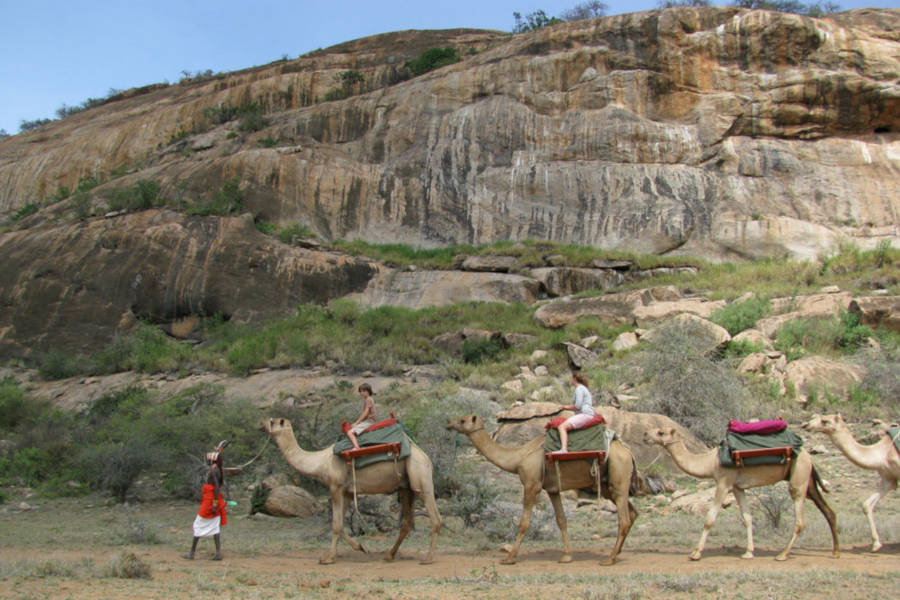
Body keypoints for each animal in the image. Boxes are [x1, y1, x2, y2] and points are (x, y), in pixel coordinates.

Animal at [259, 417, 442, 564]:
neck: (321, 462)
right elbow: (340, 525)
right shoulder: (346, 492)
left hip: (419, 475)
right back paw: (389, 555)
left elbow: (335, 524)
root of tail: (425, 457)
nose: (261, 423)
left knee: (435, 518)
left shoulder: (335, 487)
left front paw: (328, 559)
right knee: (407, 523)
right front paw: (361, 547)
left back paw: (428, 558)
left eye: (272, 421)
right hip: (406, 486)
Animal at [446, 414, 638, 565]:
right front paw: (566, 556)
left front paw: (509, 558)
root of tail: (629, 452)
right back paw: (617, 552)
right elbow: (561, 520)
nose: (448, 422)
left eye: (462, 420)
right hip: (608, 485)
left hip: (619, 475)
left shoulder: (531, 484)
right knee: (632, 513)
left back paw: (609, 559)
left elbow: (524, 522)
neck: (518, 457)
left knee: (624, 519)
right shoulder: (552, 489)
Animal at [643, 426, 839, 561]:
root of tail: (808, 455)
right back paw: (835, 552)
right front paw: (748, 552)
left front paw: (696, 553)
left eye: (660, 432)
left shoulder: (724, 482)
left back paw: (782, 554)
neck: (710, 462)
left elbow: (709, 518)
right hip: (808, 481)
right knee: (829, 511)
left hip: (798, 477)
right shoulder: (738, 487)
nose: (645, 435)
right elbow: (747, 518)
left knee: (800, 520)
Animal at [802, 413, 900, 552]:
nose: (807, 425)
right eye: (816, 416)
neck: (883, 453)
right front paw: (876, 544)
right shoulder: (889, 479)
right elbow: (866, 505)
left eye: (825, 421)